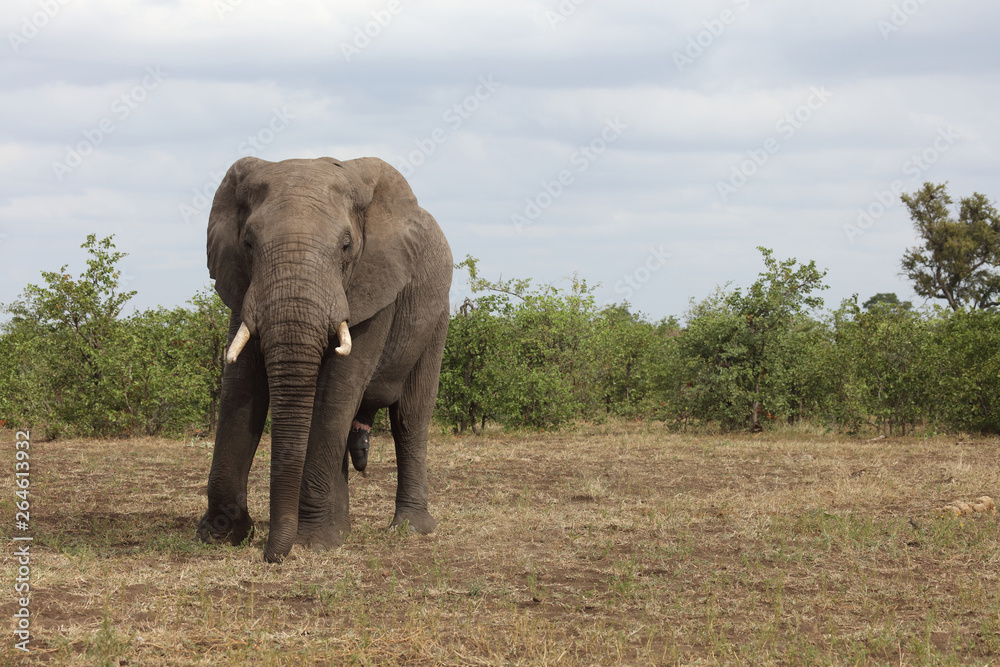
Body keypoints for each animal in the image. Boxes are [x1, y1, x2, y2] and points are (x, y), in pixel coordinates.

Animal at [195, 154, 454, 560]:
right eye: (248, 243)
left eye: (346, 246)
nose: (271, 556)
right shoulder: (242, 286)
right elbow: (240, 387)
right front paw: (220, 535)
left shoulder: (376, 288)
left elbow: (337, 390)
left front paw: (314, 543)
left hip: (437, 316)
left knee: (410, 418)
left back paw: (409, 529)